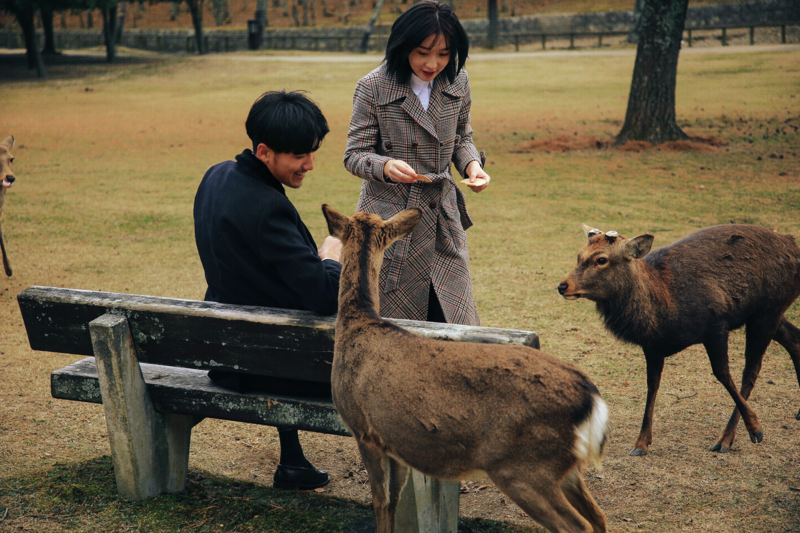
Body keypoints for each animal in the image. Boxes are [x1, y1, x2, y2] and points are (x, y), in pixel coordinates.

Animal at [322, 204, 609, 533]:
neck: (358, 323)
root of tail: (592, 400)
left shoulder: (362, 428)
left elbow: (380, 502)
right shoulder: (393, 440)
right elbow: (394, 500)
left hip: (522, 467)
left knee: (578, 525)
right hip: (564, 467)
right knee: (599, 517)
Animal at [558, 223, 800, 457]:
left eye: (601, 259)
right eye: (579, 255)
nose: (563, 286)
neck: (663, 309)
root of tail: (792, 246)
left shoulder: (716, 326)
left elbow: (722, 374)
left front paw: (756, 427)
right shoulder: (652, 347)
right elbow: (652, 386)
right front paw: (641, 443)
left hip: (768, 309)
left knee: (751, 370)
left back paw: (727, 438)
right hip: (766, 312)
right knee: (793, 338)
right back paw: (797, 412)